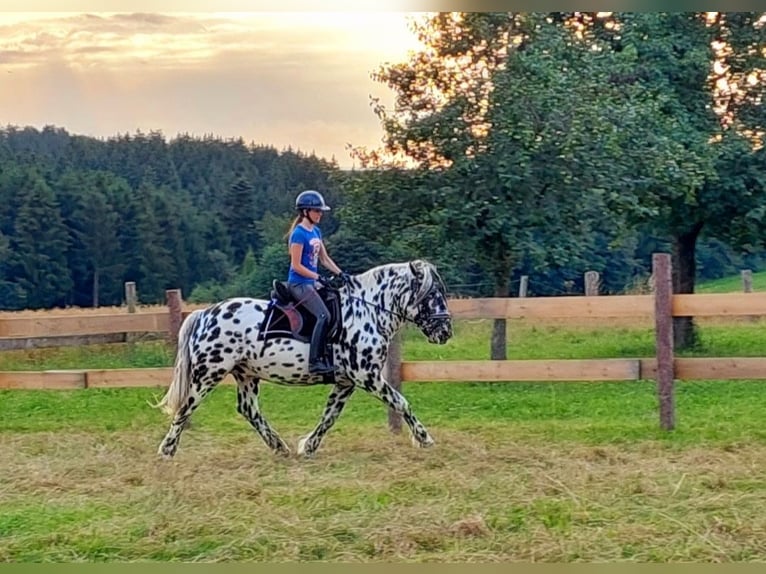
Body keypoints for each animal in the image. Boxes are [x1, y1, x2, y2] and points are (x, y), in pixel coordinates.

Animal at [156, 258, 456, 462]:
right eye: (432, 294)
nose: (445, 332)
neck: (368, 311)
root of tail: (205, 314)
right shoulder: (367, 376)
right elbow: (401, 402)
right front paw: (424, 438)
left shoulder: (347, 382)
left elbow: (329, 415)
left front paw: (308, 446)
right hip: (209, 374)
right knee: (186, 408)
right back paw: (167, 450)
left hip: (246, 374)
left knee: (249, 410)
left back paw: (279, 447)